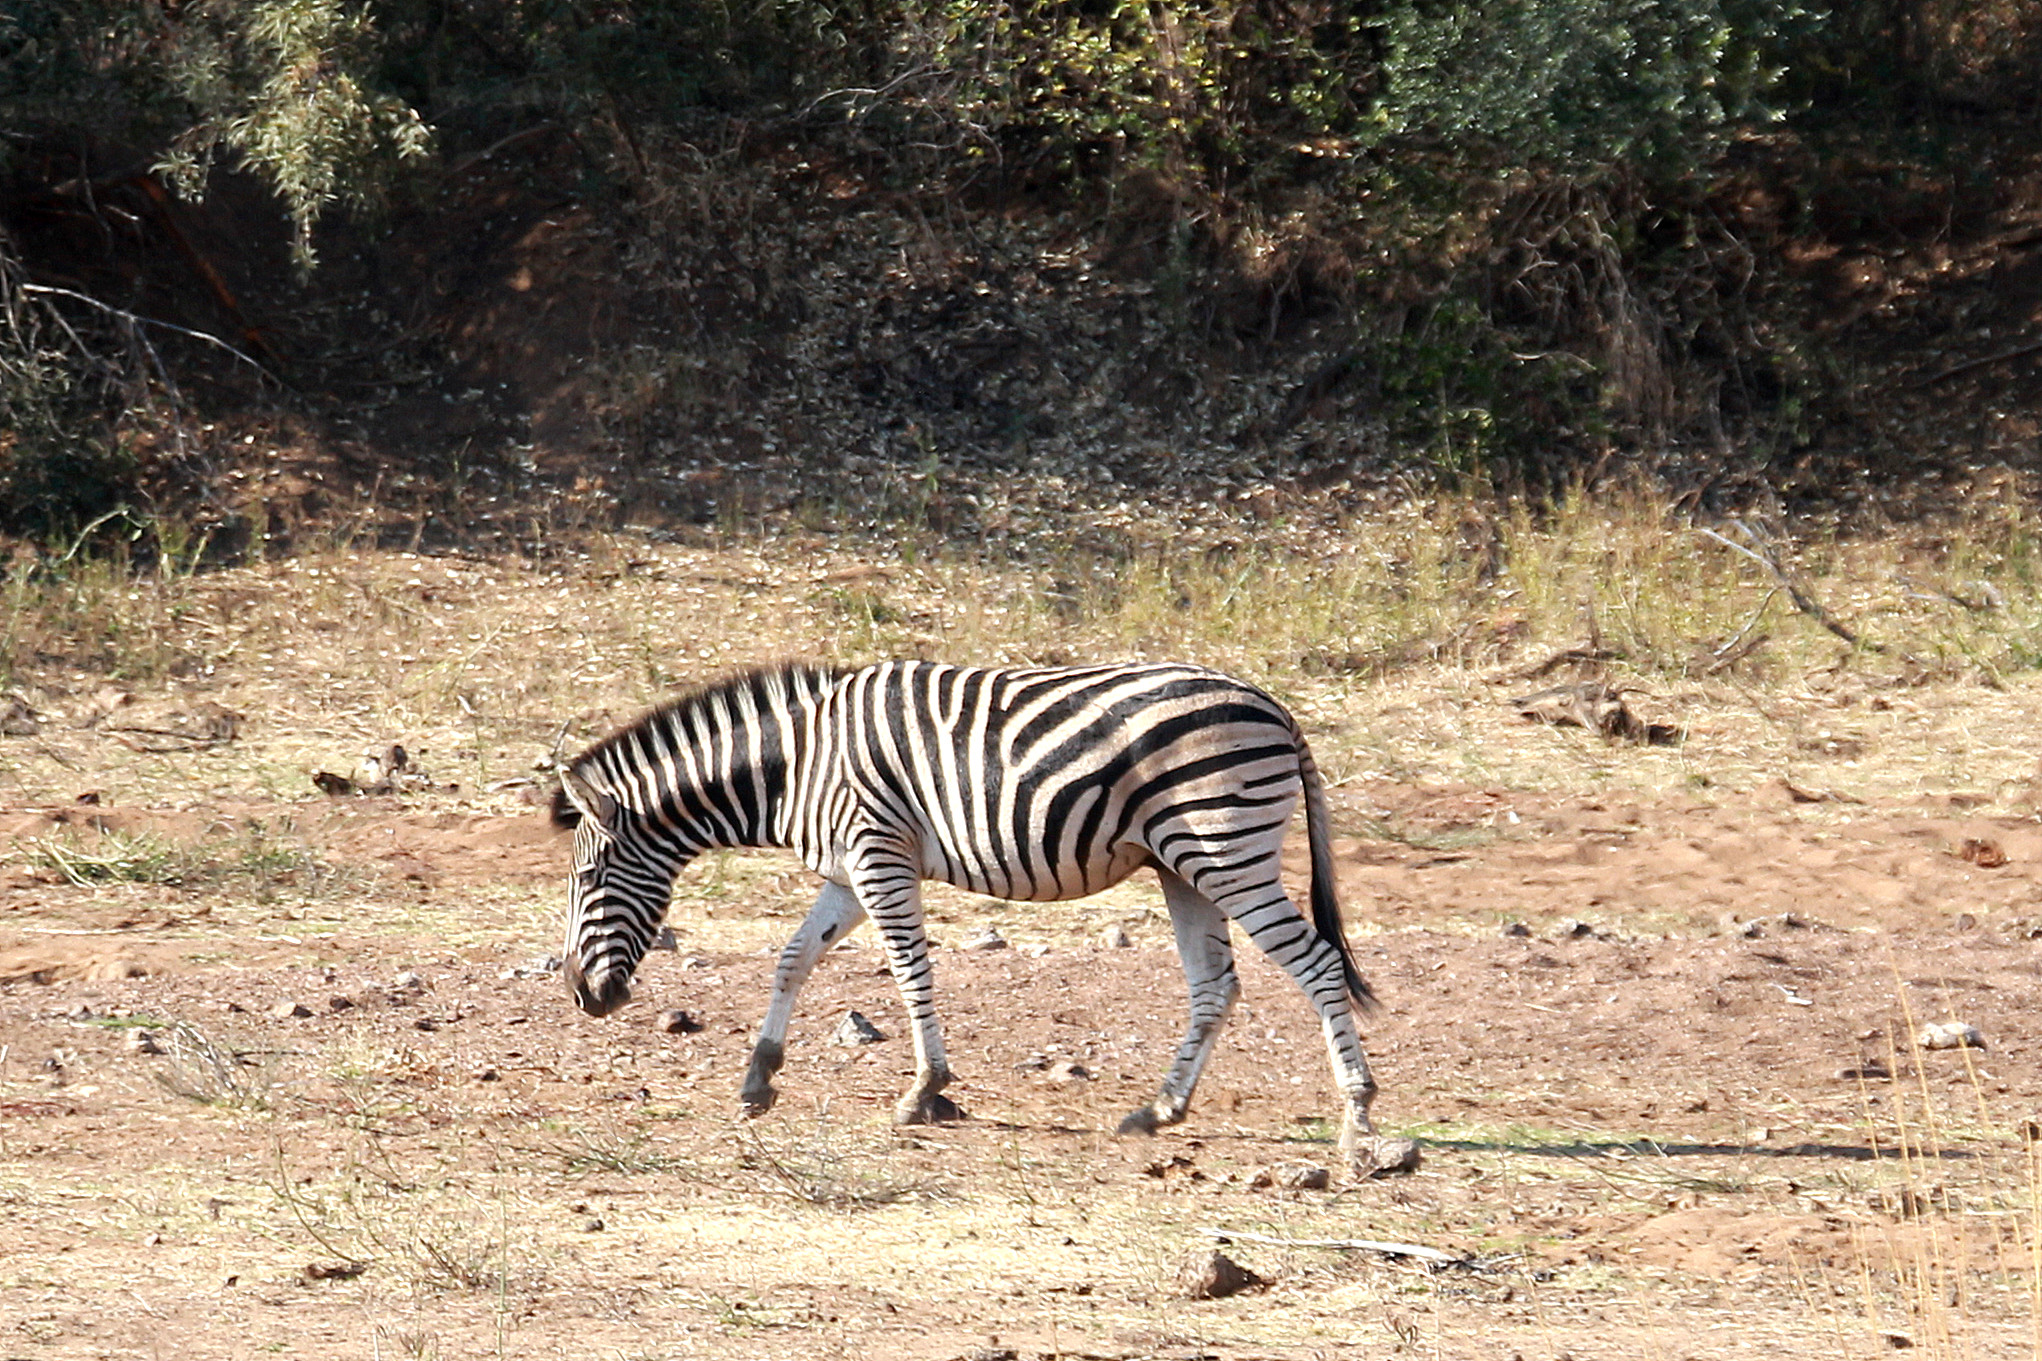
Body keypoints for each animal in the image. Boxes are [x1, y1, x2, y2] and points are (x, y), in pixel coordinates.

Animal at [551, 657, 1396, 1175]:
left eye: (589, 875)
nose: (582, 997)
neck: (794, 766)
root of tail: (1274, 706)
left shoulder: (877, 853)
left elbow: (907, 969)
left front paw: (925, 1088)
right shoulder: (848, 871)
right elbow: (794, 958)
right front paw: (759, 1076)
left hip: (1226, 850)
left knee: (1317, 963)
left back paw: (1357, 1117)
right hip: (1182, 864)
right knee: (1216, 986)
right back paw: (1158, 1109)